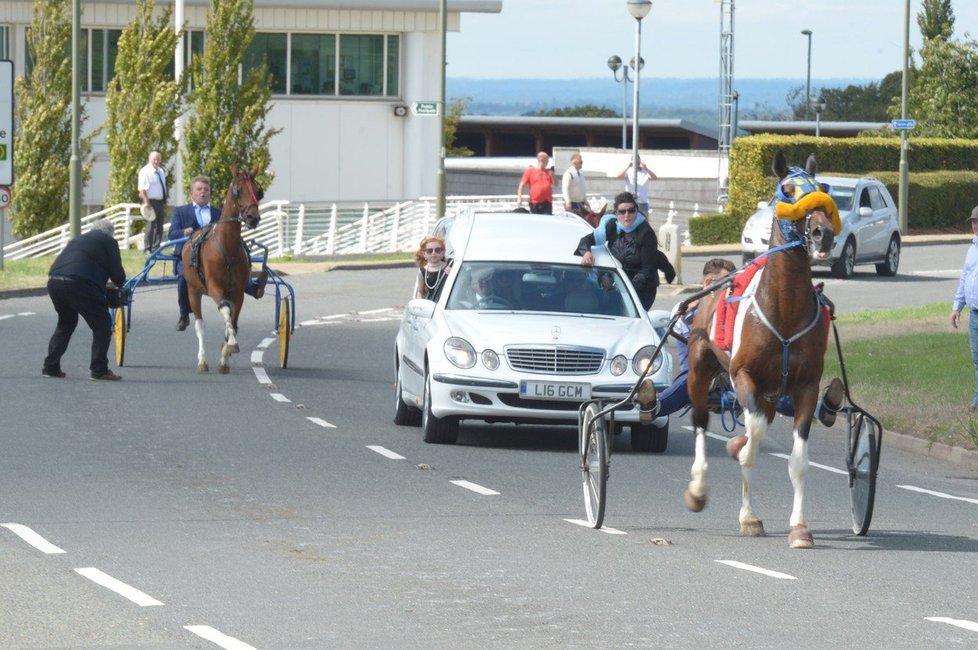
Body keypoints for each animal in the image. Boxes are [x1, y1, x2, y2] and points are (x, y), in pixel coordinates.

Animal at [182, 165, 264, 372]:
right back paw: (202, 361)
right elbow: (225, 312)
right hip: (193, 290)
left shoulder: (237, 293)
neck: (227, 248)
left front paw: (225, 354)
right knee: (200, 325)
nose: (253, 217)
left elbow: (232, 322)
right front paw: (231, 345)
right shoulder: (214, 288)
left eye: (258, 192)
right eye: (238, 191)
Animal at [684, 152, 836, 548]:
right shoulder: (743, 376)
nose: (823, 233)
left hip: (770, 392)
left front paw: (799, 527)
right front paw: (747, 512)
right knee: (701, 423)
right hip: (699, 369)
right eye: (788, 190)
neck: (784, 311)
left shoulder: (805, 386)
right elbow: (751, 442)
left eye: (822, 187)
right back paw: (703, 488)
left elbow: (797, 461)